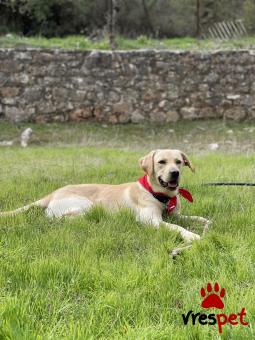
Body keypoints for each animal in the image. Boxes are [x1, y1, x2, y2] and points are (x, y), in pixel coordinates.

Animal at [0, 149, 209, 242]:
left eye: (179, 162)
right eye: (161, 162)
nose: (175, 173)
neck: (159, 194)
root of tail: (52, 193)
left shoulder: (176, 215)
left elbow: (201, 219)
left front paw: (206, 224)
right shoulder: (151, 220)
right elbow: (176, 227)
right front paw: (192, 235)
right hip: (86, 204)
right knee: (58, 219)